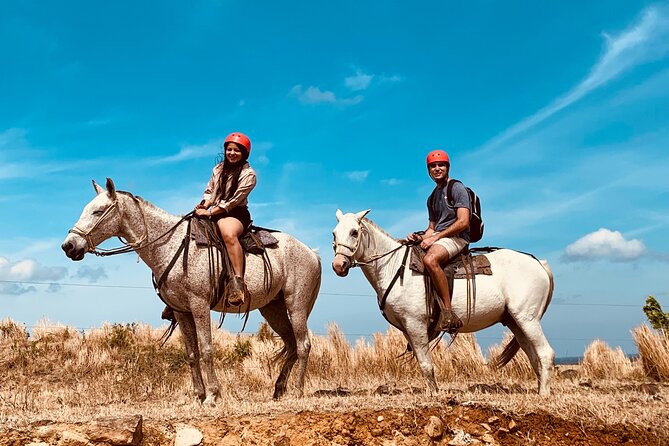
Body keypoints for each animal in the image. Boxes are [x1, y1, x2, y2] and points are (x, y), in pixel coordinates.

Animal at [62, 179, 320, 404]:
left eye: (97, 212)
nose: (69, 246)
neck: (171, 244)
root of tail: (311, 252)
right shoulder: (181, 310)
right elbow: (192, 353)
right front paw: (199, 395)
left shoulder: (199, 305)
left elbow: (206, 349)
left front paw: (213, 395)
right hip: (272, 308)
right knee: (291, 344)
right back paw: (278, 390)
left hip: (296, 304)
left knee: (303, 344)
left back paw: (298, 391)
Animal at [332, 211, 556, 396]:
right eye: (334, 234)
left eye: (354, 232)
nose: (338, 265)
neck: (394, 266)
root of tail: (539, 263)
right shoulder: (408, 329)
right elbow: (422, 361)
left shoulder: (415, 324)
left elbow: (425, 364)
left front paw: (433, 395)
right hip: (515, 322)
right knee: (533, 355)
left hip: (527, 319)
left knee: (545, 353)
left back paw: (543, 395)